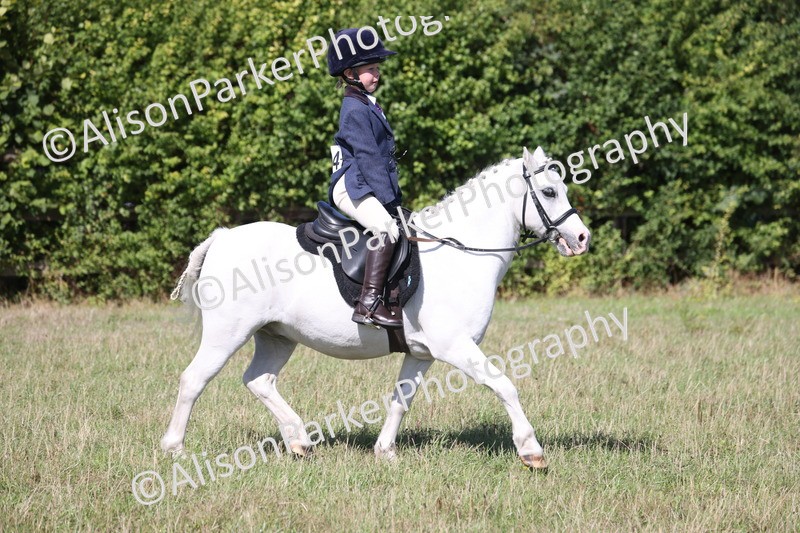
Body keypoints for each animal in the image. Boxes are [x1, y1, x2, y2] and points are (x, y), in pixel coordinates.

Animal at [162, 146, 591, 470]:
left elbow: (401, 399)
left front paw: (385, 452)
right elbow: (503, 385)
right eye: (549, 192)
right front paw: (531, 451)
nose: (582, 238)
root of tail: (222, 238)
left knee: (259, 380)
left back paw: (299, 440)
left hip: (277, 336)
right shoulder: (456, 346)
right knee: (193, 380)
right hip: (227, 333)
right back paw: (175, 448)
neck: (460, 252)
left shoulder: (422, 353)